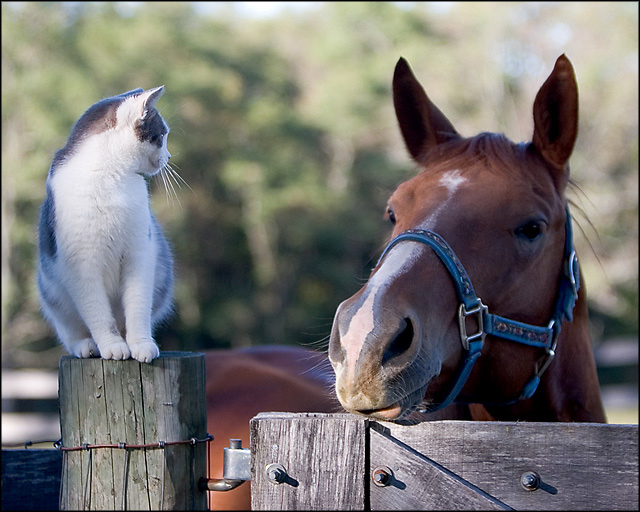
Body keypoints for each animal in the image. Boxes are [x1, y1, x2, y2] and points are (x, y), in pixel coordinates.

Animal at [38, 86, 176, 362]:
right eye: (161, 136)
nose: (169, 156)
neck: (110, 176)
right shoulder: (81, 265)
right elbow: (99, 315)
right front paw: (113, 346)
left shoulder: (140, 253)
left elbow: (137, 308)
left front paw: (140, 345)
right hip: (52, 297)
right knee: (72, 331)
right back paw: (87, 346)